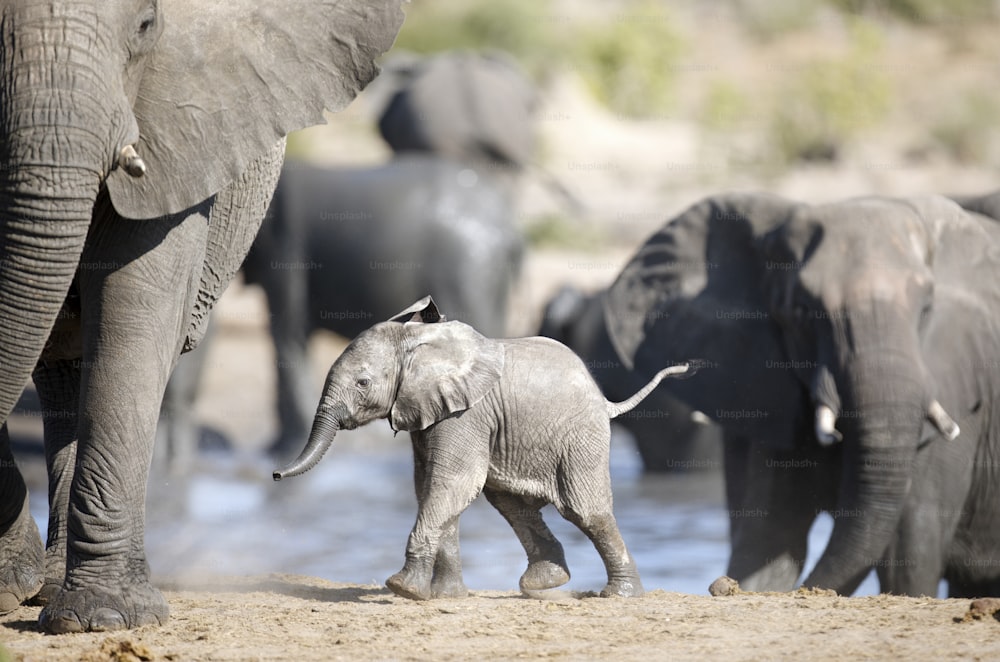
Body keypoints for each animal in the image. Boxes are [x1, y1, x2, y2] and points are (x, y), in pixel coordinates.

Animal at [274, 298, 696, 600]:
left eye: (362, 383)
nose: (275, 474)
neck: (419, 342)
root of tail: (606, 402)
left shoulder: (466, 415)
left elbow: (452, 483)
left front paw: (402, 589)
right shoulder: (431, 412)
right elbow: (428, 487)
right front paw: (446, 597)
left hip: (580, 437)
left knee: (585, 510)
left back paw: (620, 595)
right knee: (511, 503)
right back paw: (542, 584)